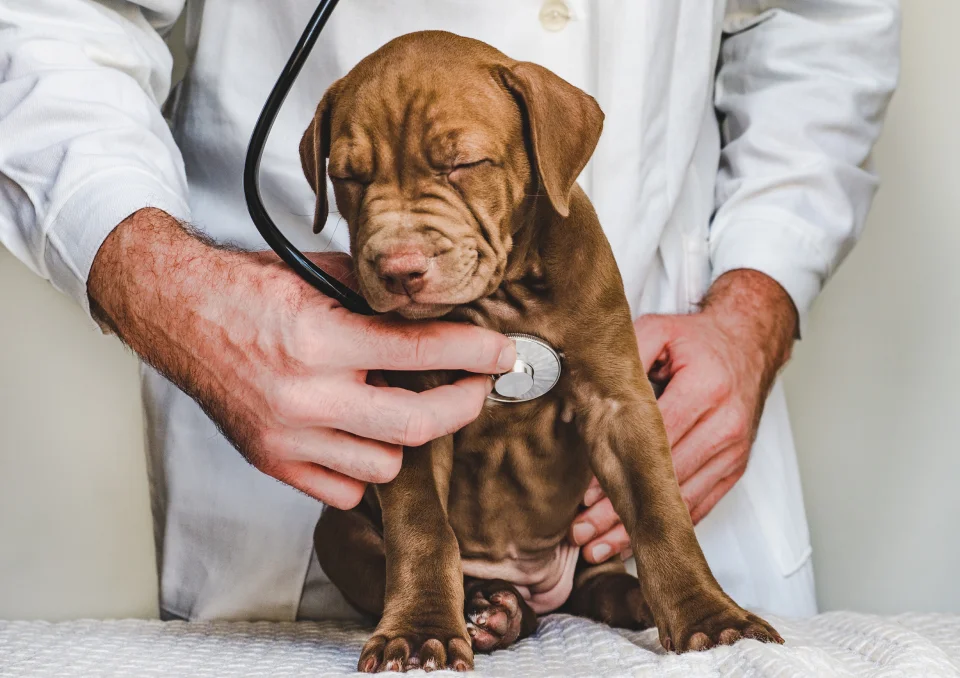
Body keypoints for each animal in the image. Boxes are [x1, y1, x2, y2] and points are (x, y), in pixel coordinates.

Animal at [300, 30, 780, 676]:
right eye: (349, 176)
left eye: (464, 164)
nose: (399, 269)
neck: (504, 300)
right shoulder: (413, 406)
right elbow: (423, 528)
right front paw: (423, 628)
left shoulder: (619, 404)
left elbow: (660, 512)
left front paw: (709, 616)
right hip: (336, 529)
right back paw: (490, 611)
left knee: (596, 585)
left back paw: (624, 600)